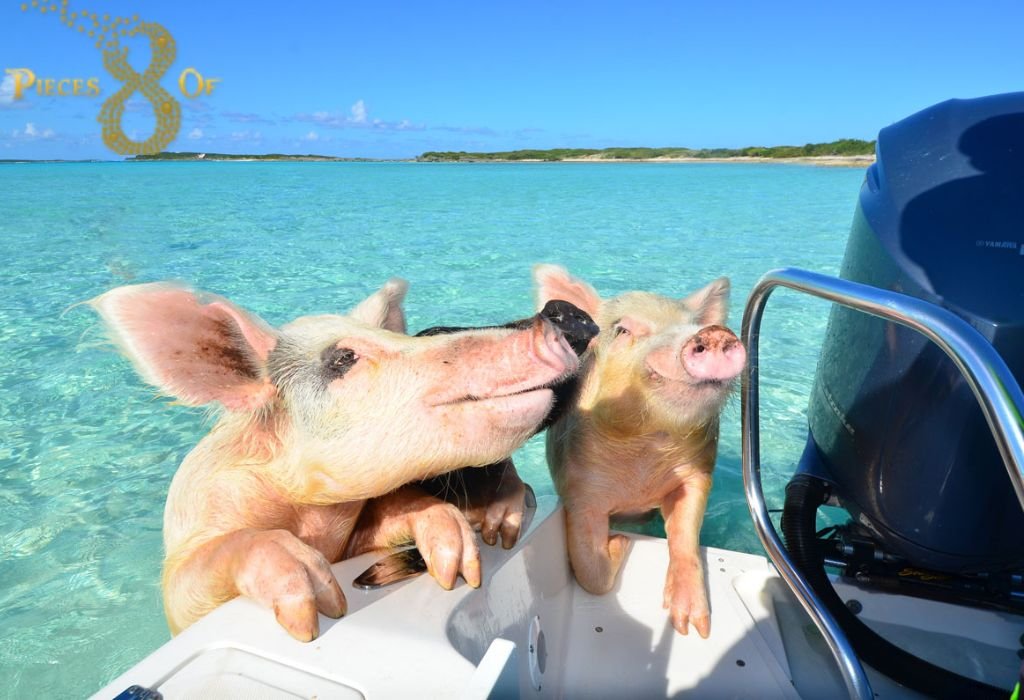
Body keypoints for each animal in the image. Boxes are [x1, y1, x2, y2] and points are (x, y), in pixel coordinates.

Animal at [89, 278, 585, 641]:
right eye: (344, 358)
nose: (561, 319)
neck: (311, 517)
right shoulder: (187, 570)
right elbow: (204, 568)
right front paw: (321, 605)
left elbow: (400, 509)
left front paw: (459, 560)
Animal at [535, 264, 746, 639]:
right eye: (623, 330)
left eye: (692, 323)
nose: (713, 333)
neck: (646, 448)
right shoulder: (579, 490)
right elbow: (590, 570)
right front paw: (620, 540)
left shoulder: (697, 474)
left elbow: (685, 536)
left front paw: (693, 627)